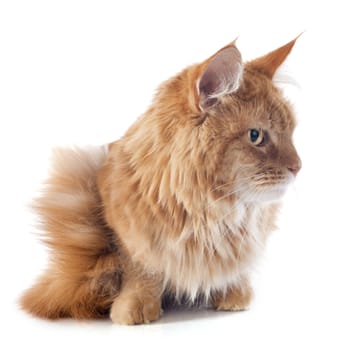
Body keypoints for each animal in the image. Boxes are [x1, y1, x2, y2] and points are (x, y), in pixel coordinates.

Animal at [21, 37, 300, 324]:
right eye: (256, 136)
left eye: (291, 133)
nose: (298, 167)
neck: (207, 209)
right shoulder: (125, 233)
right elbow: (142, 271)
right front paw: (136, 306)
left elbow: (232, 268)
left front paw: (233, 293)